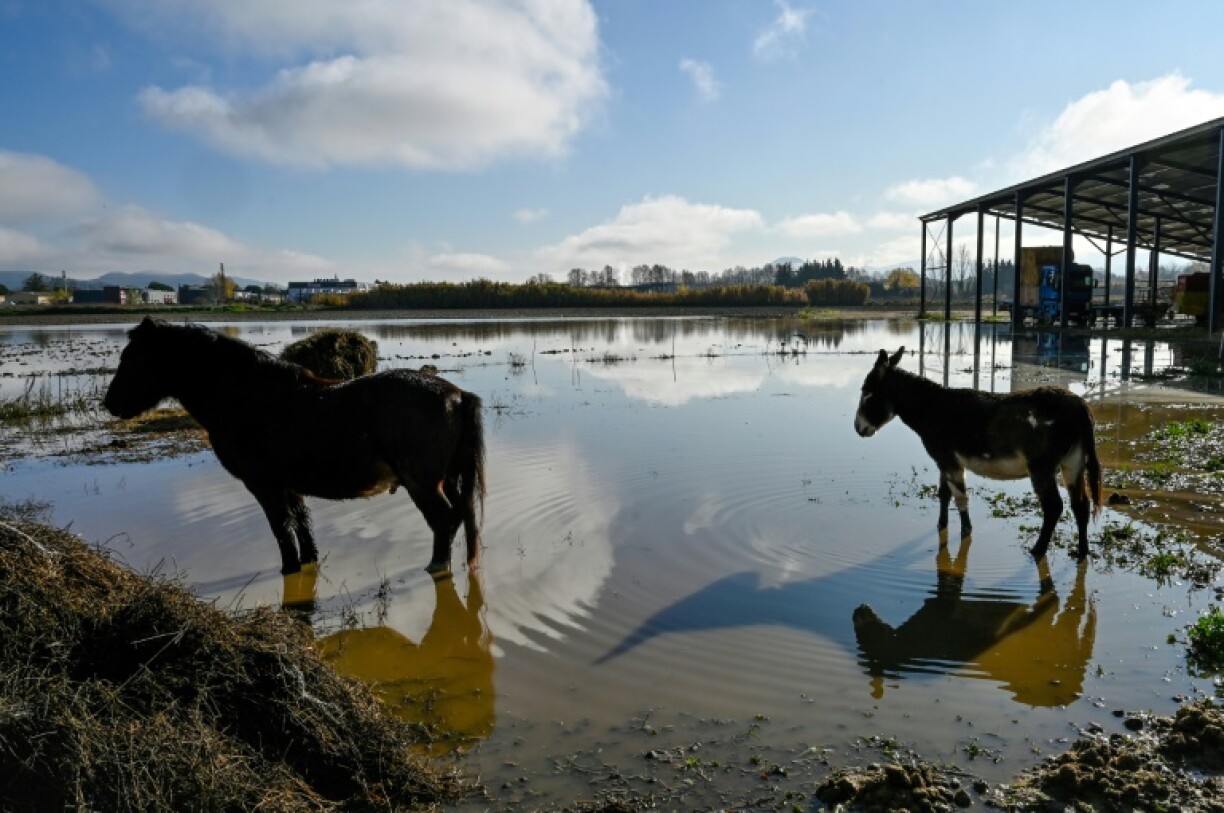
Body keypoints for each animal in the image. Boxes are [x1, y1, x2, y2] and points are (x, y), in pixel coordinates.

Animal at [103, 317, 485, 576]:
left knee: (444, 521)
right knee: (460, 517)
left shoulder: (264, 485)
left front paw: (289, 572)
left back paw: (436, 567)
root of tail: (456, 394)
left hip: (422, 484)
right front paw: (308, 562)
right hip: (450, 478)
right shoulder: (289, 485)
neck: (246, 397)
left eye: (132, 358)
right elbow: (303, 527)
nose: (110, 403)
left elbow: (282, 532)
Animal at [854, 347, 1102, 559]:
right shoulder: (944, 461)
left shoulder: (950, 462)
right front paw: (941, 525)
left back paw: (1038, 550)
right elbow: (944, 494)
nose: (858, 428)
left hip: (1042, 467)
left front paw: (966, 531)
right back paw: (1082, 552)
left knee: (1053, 507)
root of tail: (1080, 406)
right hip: (1073, 462)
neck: (933, 408)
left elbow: (960, 497)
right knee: (1081, 505)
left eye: (867, 394)